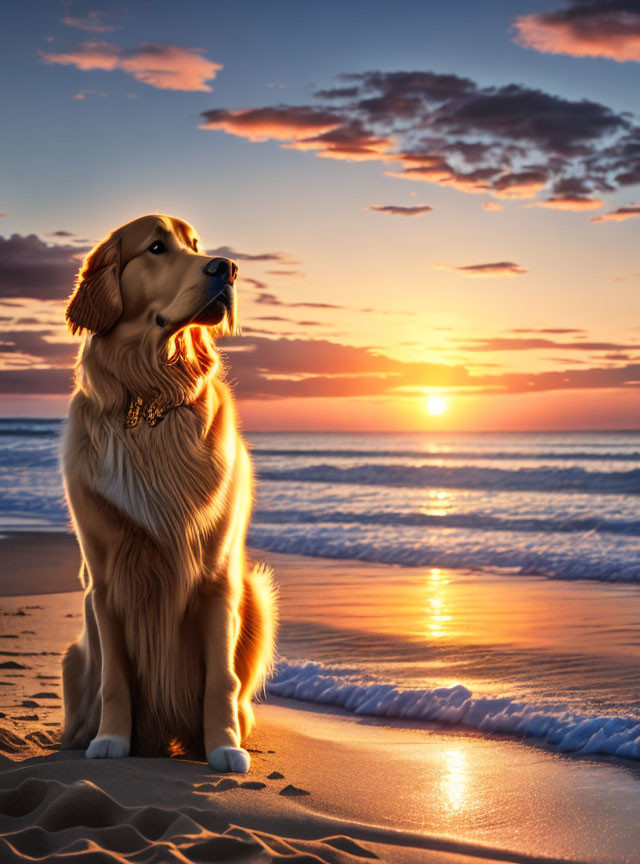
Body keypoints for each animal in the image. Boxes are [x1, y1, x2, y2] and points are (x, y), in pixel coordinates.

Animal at [60, 213, 278, 772]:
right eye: (157, 248)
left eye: (196, 244)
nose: (227, 268)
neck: (152, 398)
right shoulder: (105, 581)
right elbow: (115, 679)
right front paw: (111, 740)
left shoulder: (218, 579)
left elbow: (221, 679)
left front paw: (223, 746)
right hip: (76, 651)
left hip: (255, 593)